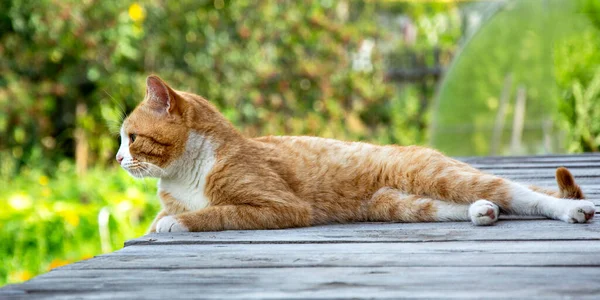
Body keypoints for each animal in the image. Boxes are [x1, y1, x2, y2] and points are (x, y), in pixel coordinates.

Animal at [116, 74, 596, 232]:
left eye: (132, 138)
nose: (117, 159)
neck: (184, 175)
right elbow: (161, 215)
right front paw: (161, 220)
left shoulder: (278, 206)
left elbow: (214, 212)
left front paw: (176, 223)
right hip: (400, 205)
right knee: (479, 204)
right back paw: (483, 212)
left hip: (439, 177)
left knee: (521, 194)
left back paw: (572, 211)